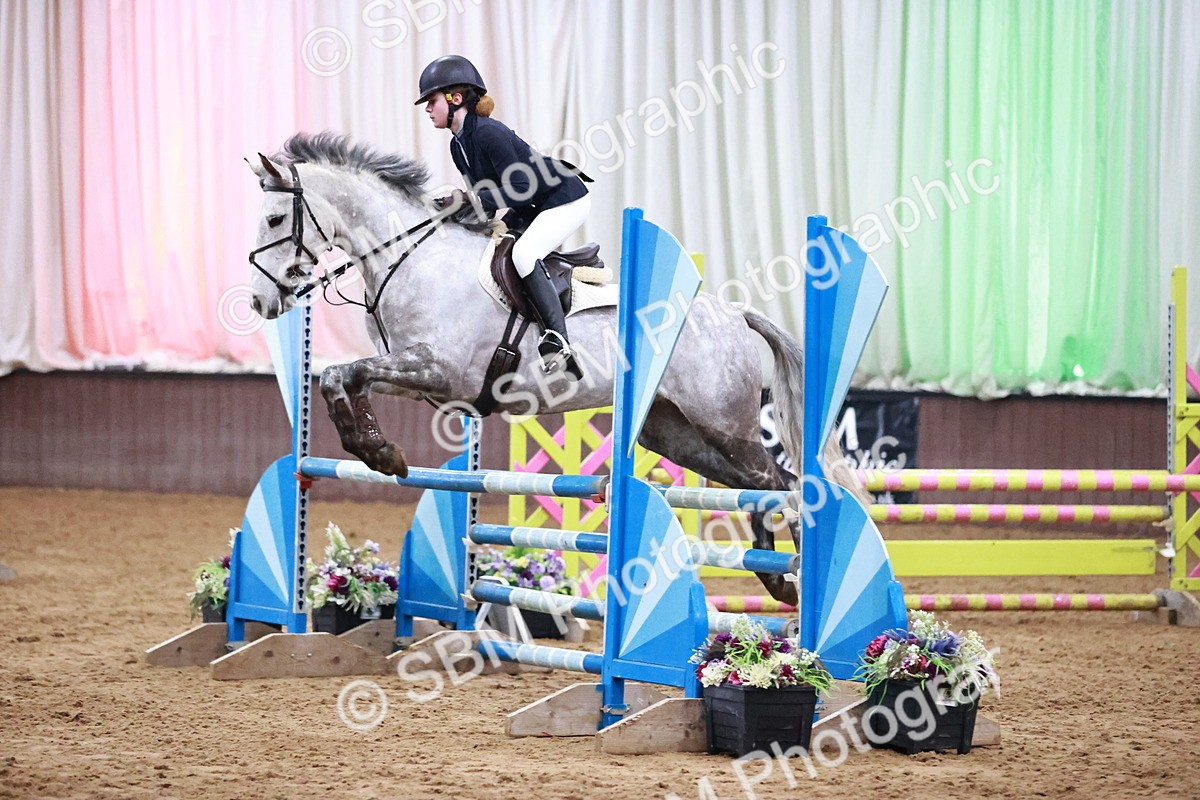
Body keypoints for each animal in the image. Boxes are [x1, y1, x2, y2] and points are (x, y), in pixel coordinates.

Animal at [245, 131, 865, 605]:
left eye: (275, 218)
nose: (259, 302)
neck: (410, 259)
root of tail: (734, 313)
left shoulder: (438, 372)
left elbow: (347, 374)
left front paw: (380, 452)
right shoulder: (421, 379)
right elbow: (338, 377)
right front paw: (374, 448)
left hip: (724, 422)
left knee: (783, 484)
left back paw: (796, 580)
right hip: (675, 433)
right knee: (759, 486)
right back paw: (773, 576)